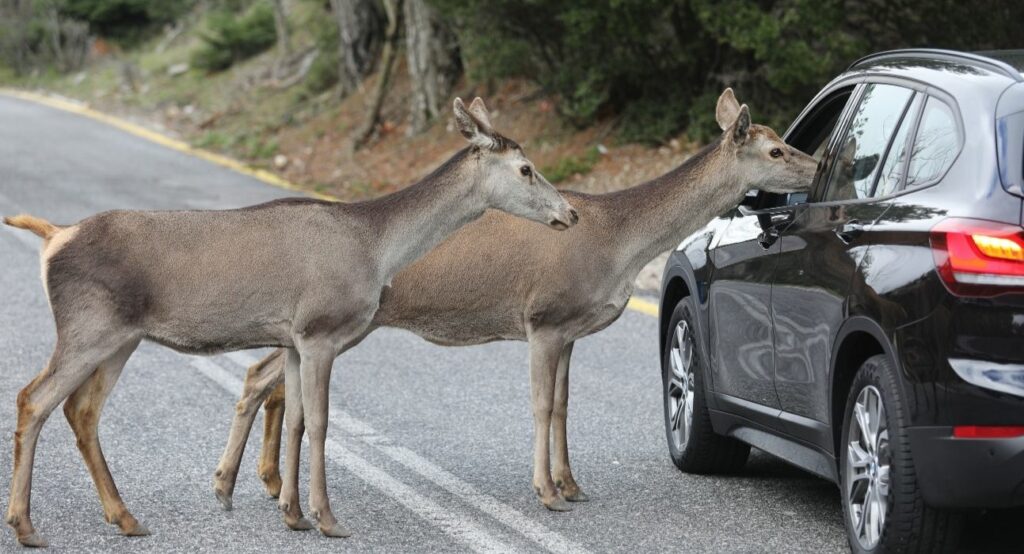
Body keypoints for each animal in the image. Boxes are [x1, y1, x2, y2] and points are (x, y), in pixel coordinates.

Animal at [0, 97, 577, 544]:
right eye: (526, 168)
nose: (569, 213)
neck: (376, 247)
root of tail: (53, 235)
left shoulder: (295, 339)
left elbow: (296, 418)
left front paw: (293, 514)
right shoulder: (320, 329)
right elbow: (320, 422)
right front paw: (327, 518)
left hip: (121, 337)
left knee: (82, 410)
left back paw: (125, 517)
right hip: (88, 326)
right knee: (34, 398)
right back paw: (27, 525)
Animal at [211, 87, 819, 514]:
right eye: (776, 148)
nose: (817, 167)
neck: (619, 244)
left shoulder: (571, 328)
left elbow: (566, 405)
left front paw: (573, 486)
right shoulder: (544, 316)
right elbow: (542, 405)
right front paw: (546, 492)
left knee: (267, 378)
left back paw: (259, 483)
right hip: (342, 320)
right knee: (261, 376)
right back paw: (235, 485)